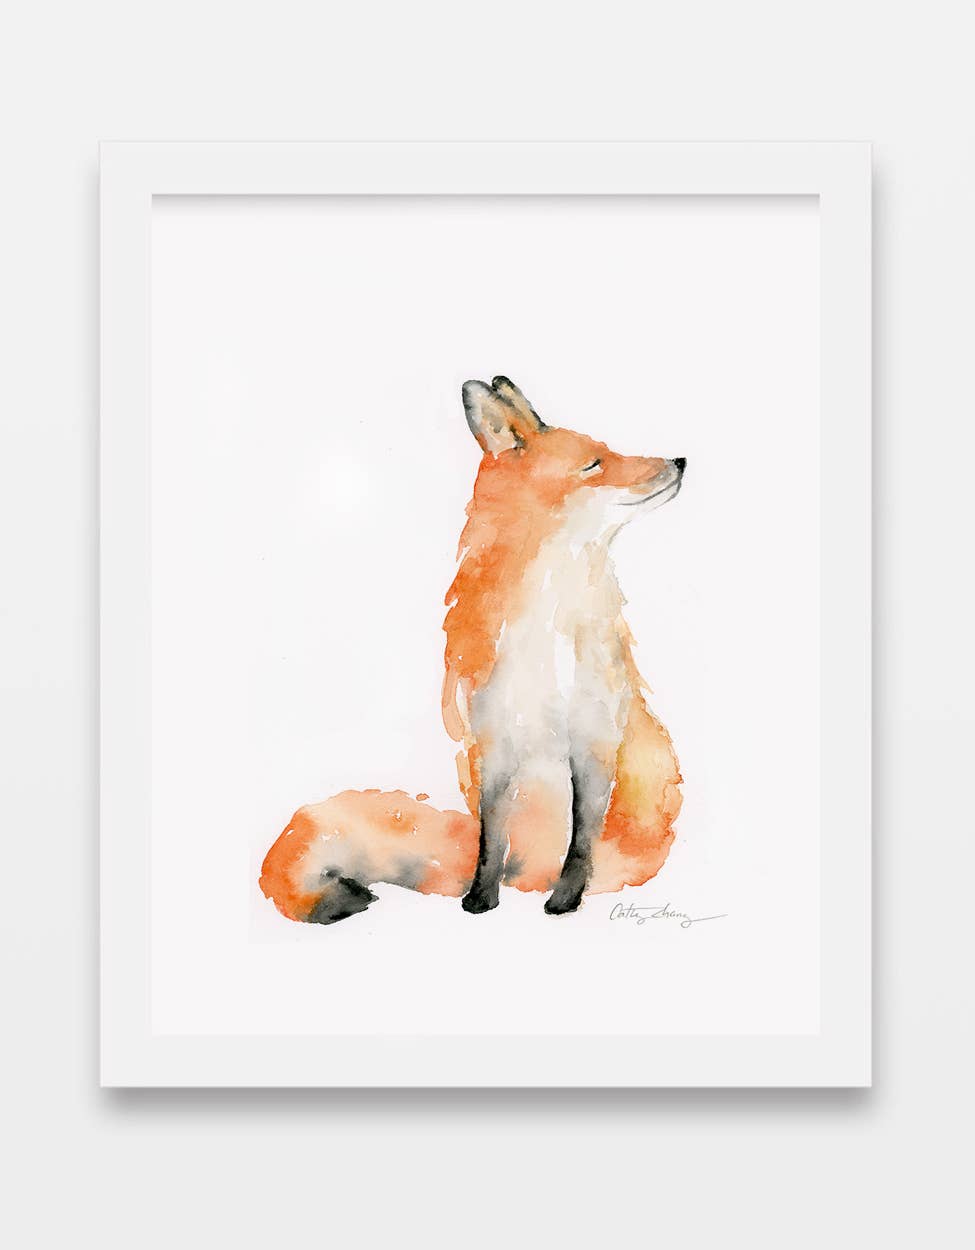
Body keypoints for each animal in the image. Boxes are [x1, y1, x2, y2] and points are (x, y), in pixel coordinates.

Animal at [260, 376, 685, 925]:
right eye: (595, 464)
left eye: (610, 452)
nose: (680, 461)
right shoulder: (494, 743)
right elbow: (490, 840)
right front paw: (481, 898)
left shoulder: (593, 742)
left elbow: (581, 843)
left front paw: (565, 900)